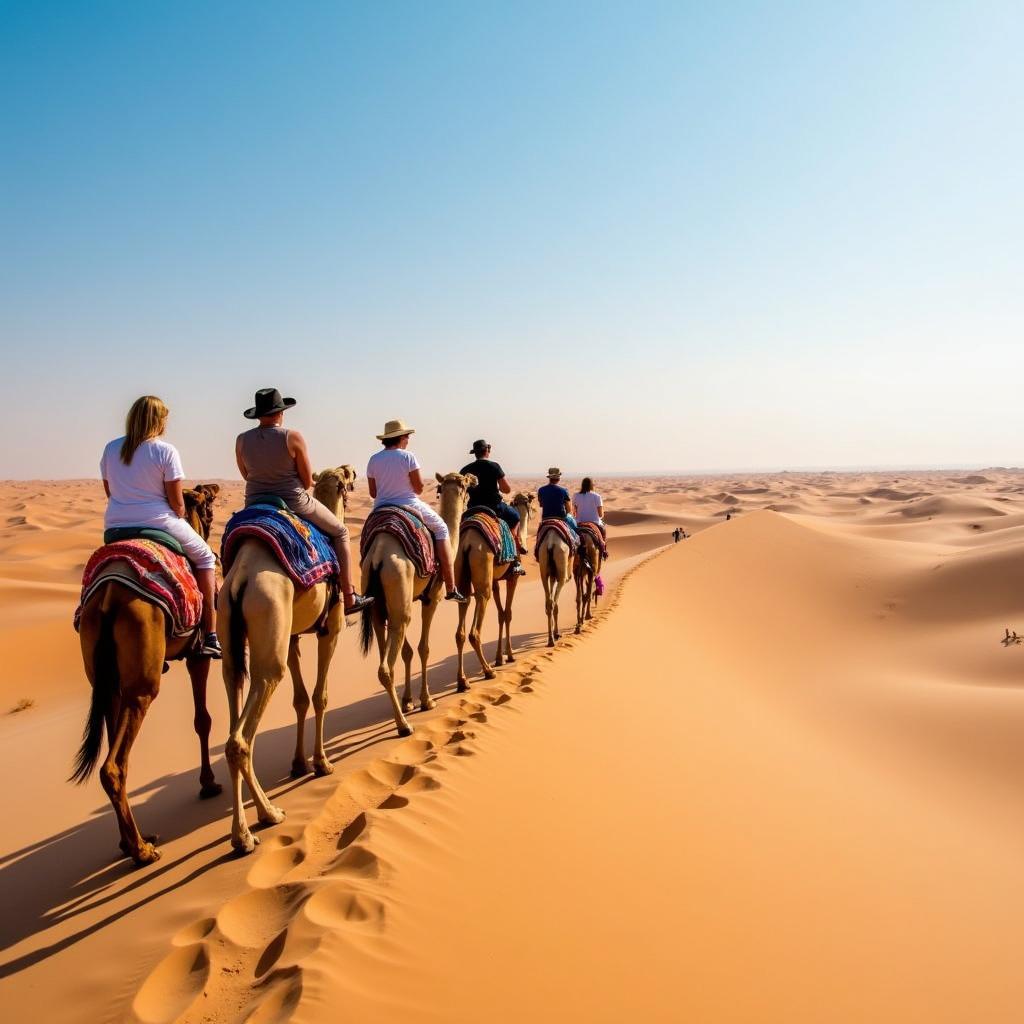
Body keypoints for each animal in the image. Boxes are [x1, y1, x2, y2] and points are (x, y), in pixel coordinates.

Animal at [72, 485, 224, 864]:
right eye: (208, 503)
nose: (215, 493)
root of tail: (107, 597)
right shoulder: (197, 655)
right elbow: (203, 720)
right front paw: (209, 784)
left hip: (108, 680)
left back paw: (130, 842)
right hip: (142, 680)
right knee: (114, 764)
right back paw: (142, 851)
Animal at [220, 464, 356, 856]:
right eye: (345, 477)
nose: (353, 472)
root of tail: (240, 578)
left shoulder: (292, 636)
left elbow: (300, 699)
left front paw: (298, 764)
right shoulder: (331, 629)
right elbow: (320, 696)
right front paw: (322, 764)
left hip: (233, 644)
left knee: (233, 708)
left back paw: (246, 830)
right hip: (269, 624)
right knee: (241, 736)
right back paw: (265, 819)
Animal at [358, 471, 473, 737]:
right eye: (465, 485)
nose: (472, 485)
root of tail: (378, 556)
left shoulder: (406, 599)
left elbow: (408, 651)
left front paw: (409, 700)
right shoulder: (432, 598)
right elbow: (423, 648)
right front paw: (426, 700)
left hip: (380, 606)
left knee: (385, 651)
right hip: (399, 583)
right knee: (386, 667)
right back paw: (403, 726)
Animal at [456, 489, 536, 688]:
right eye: (530, 501)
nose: (534, 510)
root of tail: (467, 540)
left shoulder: (494, 581)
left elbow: (501, 614)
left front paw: (500, 657)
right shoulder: (512, 578)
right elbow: (508, 614)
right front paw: (509, 655)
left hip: (462, 574)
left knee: (460, 629)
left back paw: (462, 680)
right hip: (482, 560)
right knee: (474, 630)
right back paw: (488, 671)